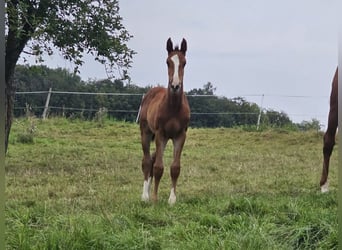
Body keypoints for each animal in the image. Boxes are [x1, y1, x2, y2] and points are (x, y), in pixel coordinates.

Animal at [140, 37, 192, 205]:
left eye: (184, 62)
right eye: (168, 62)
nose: (175, 85)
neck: (173, 108)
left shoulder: (180, 135)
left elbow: (175, 168)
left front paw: (172, 200)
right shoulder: (160, 134)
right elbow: (158, 167)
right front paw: (155, 199)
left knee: (152, 158)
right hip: (146, 133)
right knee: (147, 161)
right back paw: (145, 196)